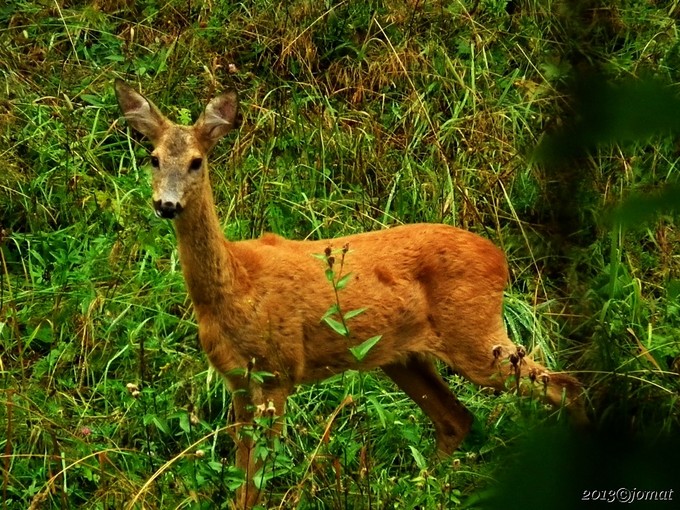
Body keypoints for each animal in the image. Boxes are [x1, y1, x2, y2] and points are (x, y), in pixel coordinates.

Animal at [114, 78, 588, 506]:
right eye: (153, 158)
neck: (235, 286)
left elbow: (257, 474)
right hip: (404, 358)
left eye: (197, 162)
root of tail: (500, 259)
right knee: (457, 418)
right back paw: (420, 488)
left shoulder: (279, 369)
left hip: (476, 337)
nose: (167, 204)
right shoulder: (238, 380)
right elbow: (241, 474)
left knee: (566, 385)